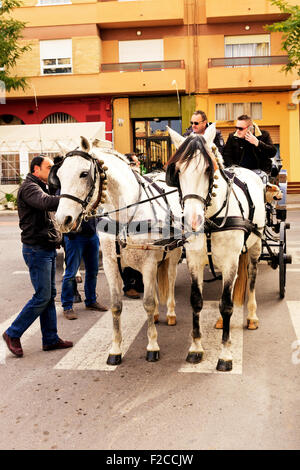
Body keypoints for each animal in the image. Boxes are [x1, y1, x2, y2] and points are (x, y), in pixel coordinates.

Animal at [52, 138, 182, 366]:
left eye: (83, 174)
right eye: (59, 175)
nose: (62, 220)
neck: (126, 215)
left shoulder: (148, 264)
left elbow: (148, 303)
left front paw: (152, 346)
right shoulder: (112, 264)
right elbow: (116, 306)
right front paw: (115, 350)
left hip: (173, 254)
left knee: (172, 277)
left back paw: (171, 312)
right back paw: (158, 314)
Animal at [166, 124, 264, 370]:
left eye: (209, 170)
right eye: (177, 171)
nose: (193, 221)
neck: (211, 220)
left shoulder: (230, 261)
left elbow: (227, 304)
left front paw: (226, 354)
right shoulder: (194, 260)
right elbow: (197, 301)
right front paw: (196, 348)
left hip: (255, 246)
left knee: (251, 277)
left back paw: (252, 316)